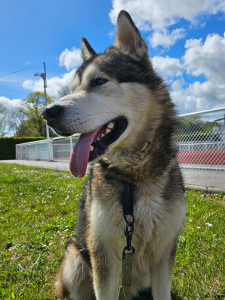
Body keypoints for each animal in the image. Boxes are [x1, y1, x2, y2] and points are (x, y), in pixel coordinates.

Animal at [43, 9, 185, 300]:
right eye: (72, 90)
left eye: (99, 81)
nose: (47, 113)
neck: (133, 178)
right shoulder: (103, 256)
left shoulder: (164, 253)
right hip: (76, 259)